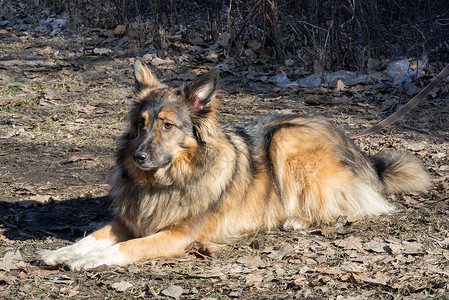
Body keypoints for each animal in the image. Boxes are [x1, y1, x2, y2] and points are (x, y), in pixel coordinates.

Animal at [38, 60, 430, 270]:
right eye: (142, 124)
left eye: (168, 125)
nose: (139, 157)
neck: (166, 181)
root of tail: (360, 152)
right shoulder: (128, 221)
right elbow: (90, 237)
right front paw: (60, 252)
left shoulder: (179, 235)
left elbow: (126, 247)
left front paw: (90, 260)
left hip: (286, 140)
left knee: (347, 205)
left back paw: (295, 219)